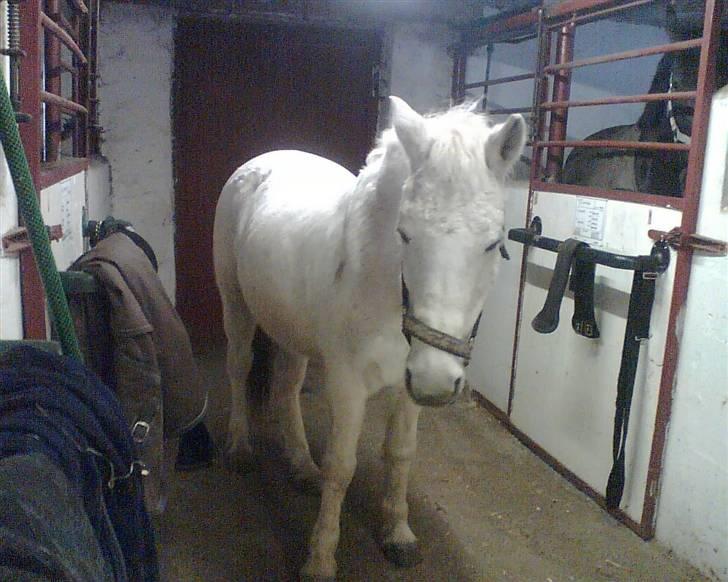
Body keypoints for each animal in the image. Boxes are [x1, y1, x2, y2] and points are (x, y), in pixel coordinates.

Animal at [213, 96, 526, 580]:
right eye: (405, 233)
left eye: (493, 243)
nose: (438, 382)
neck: (384, 288)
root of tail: (264, 161)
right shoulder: (348, 384)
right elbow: (341, 466)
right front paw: (320, 559)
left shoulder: (410, 383)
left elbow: (399, 453)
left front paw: (398, 533)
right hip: (236, 305)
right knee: (239, 368)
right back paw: (241, 448)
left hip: (291, 330)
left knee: (286, 387)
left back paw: (301, 466)